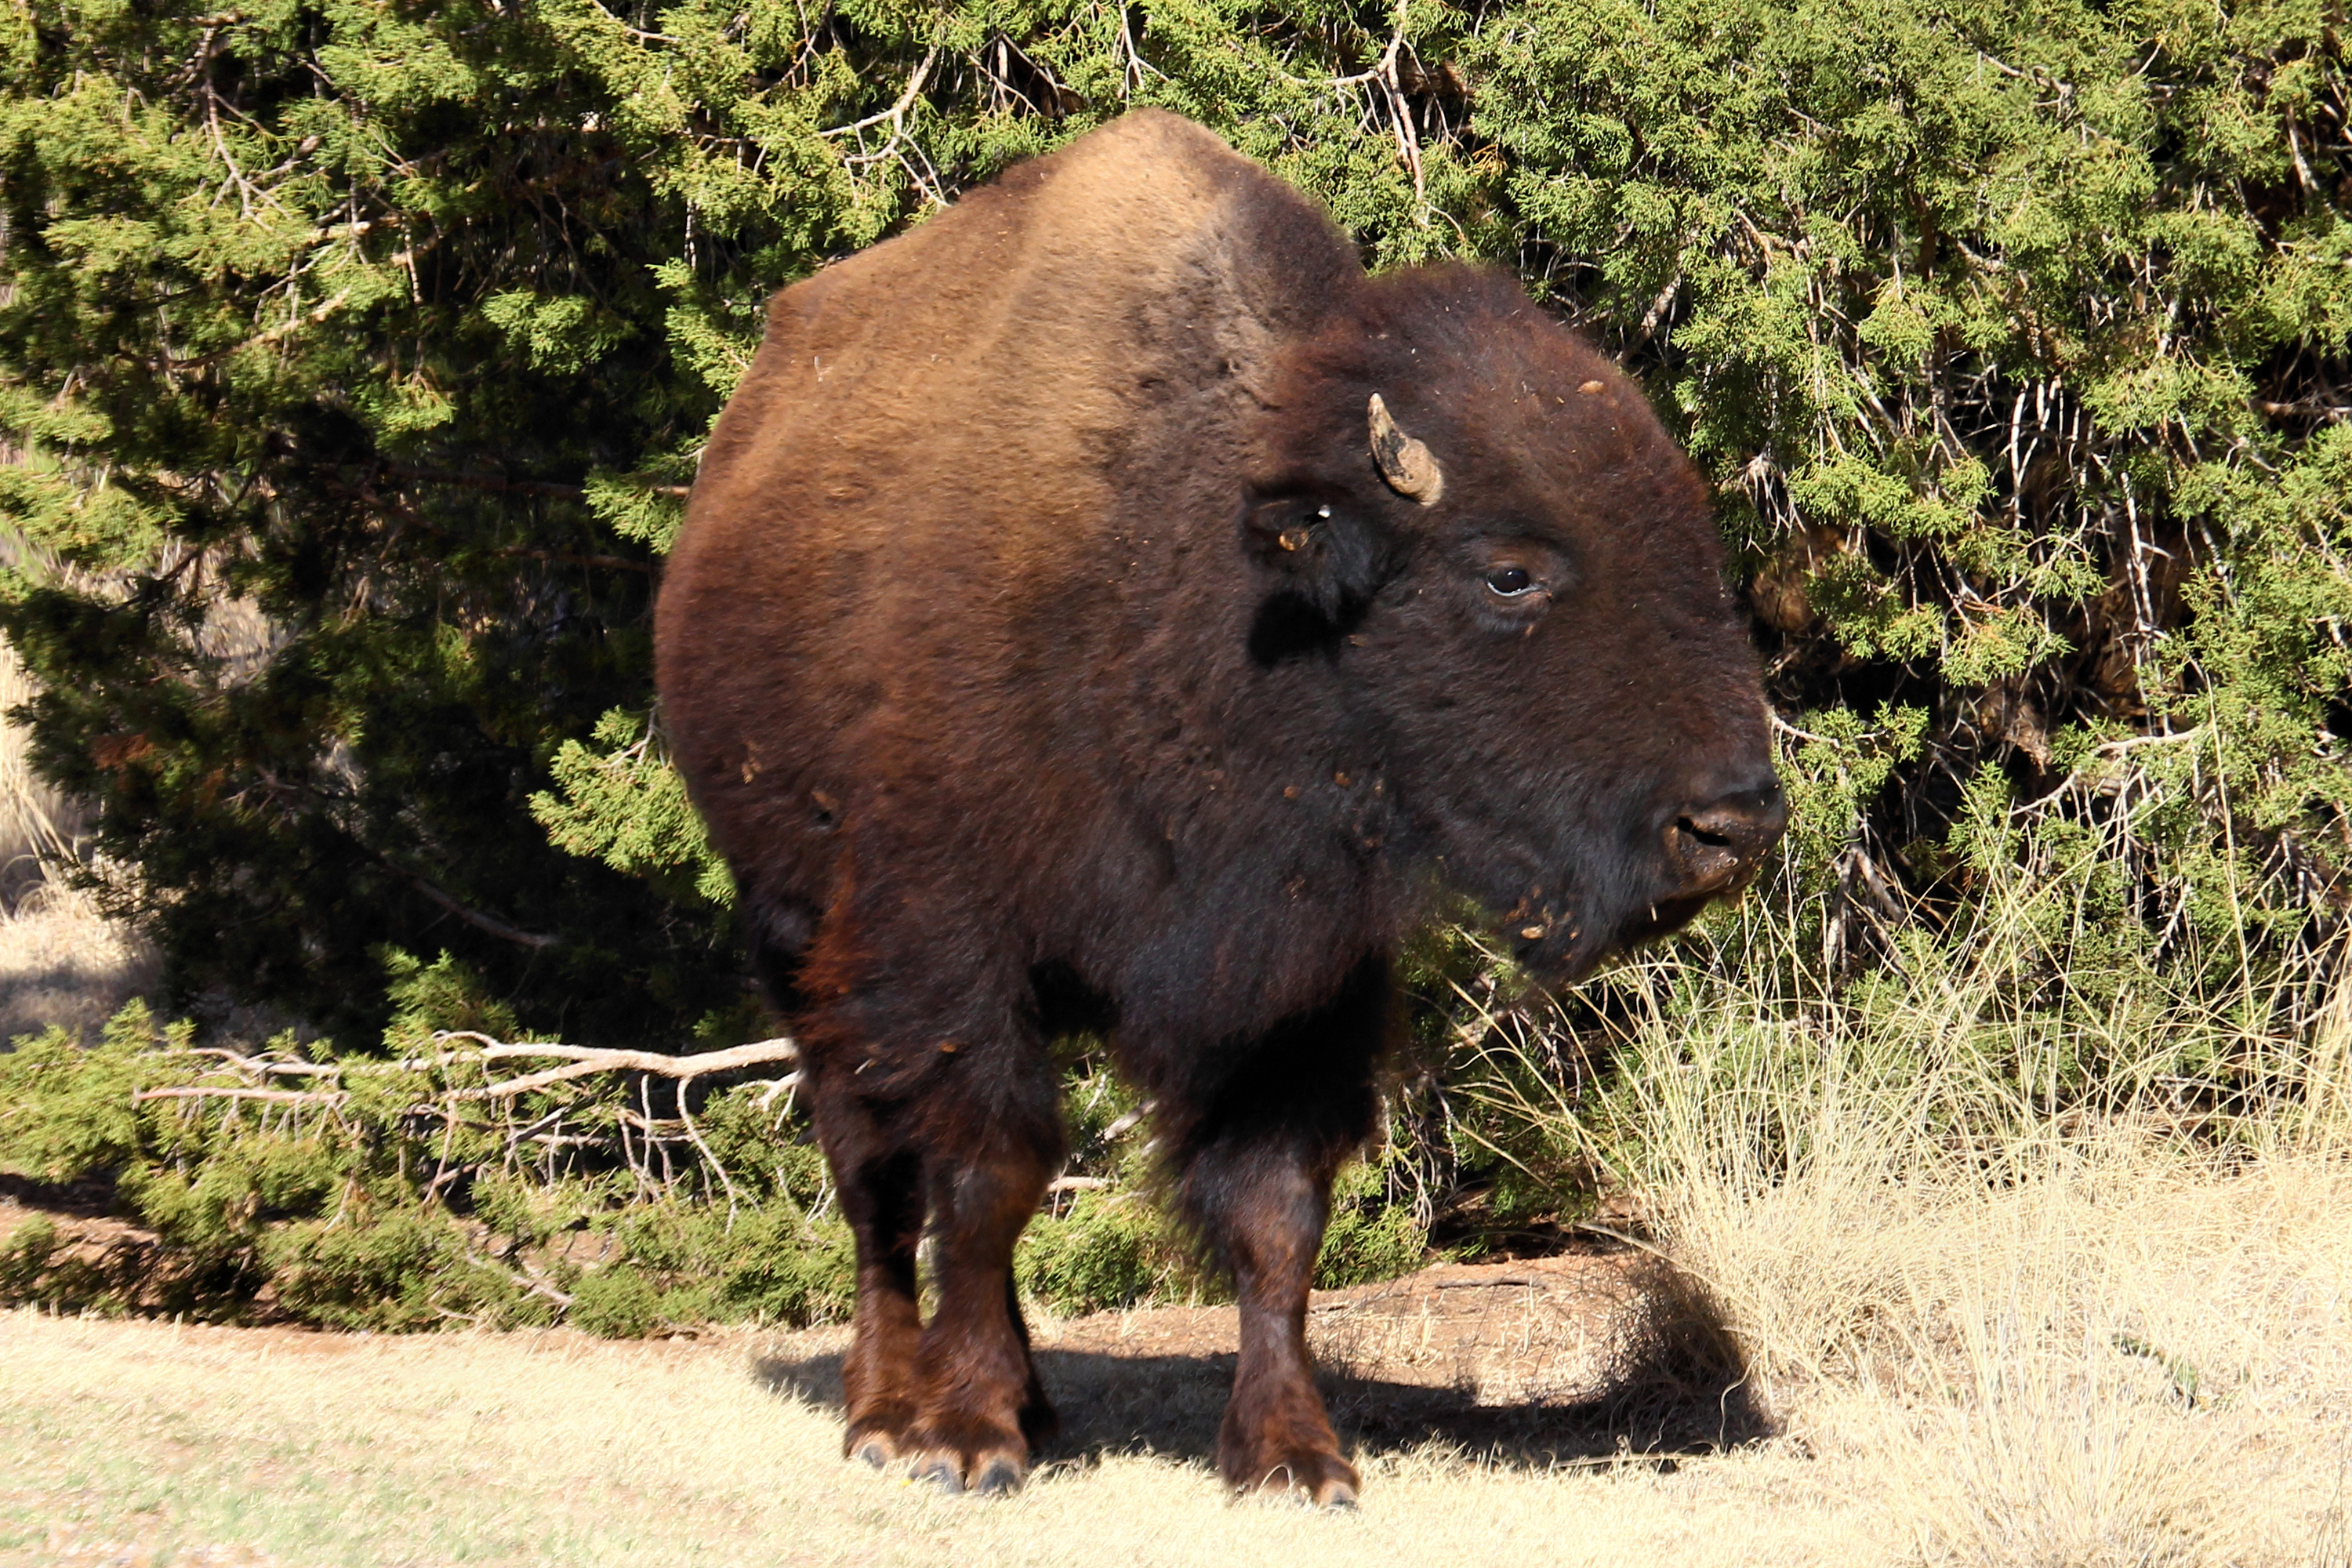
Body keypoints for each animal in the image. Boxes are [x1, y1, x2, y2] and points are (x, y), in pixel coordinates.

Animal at [655, 110, 1785, 1505]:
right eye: (1509, 573)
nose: (1732, 825)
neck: (1199, 564)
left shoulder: (1297, 987)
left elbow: (1274, 1214)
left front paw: (1294, 1455)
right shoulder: (949, 953)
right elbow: (984, 1176)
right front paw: (963, 1437)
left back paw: (1031, 1402)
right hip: (799, 943)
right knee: (873, 1183)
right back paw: (886, 1409)